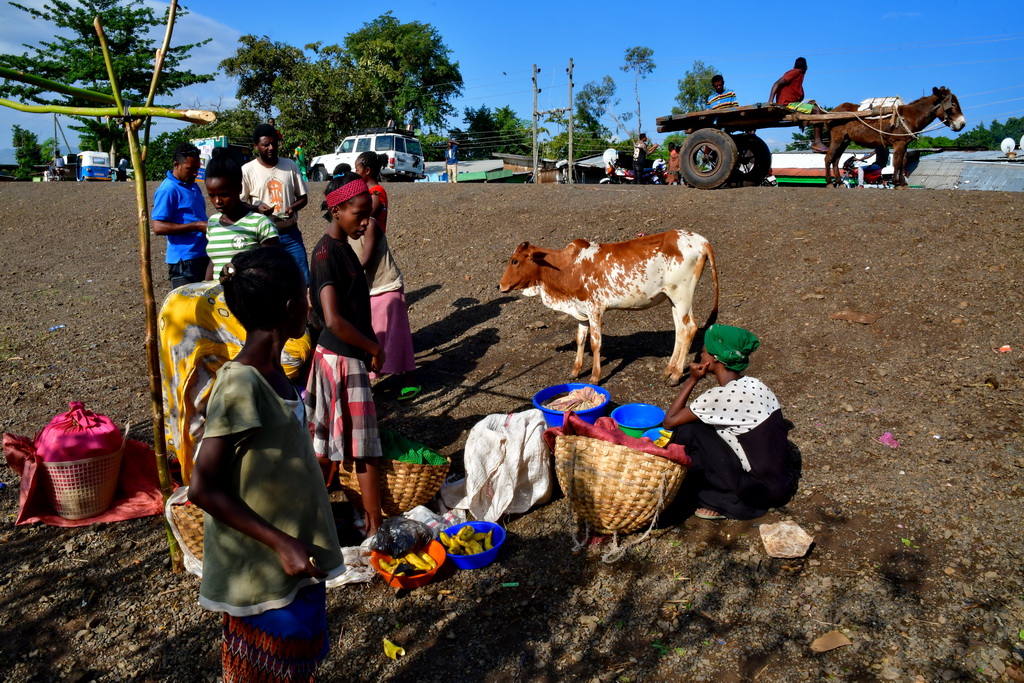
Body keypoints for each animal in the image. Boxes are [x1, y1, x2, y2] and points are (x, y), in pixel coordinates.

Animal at [497, 231, 720, 385]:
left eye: (515, 261)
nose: (500, 285)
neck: (568, 267)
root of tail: (701, 240)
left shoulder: (595, 309)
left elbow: (595, 343)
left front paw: (595, 377)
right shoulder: (581, 311)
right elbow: (580, 340)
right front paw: (575, 371)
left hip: (682, 295)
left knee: (690, 329)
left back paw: (676, 375)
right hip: (673, 299)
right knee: (680, 331)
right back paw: (668, 370)